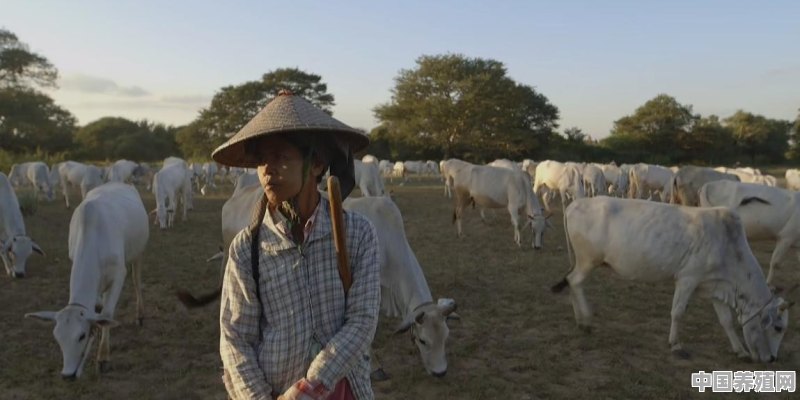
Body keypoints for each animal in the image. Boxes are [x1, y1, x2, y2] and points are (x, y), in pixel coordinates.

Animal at [25, 183, 148, 380]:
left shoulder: (119, 274)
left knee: (137, 282)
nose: (67, 375)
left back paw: (140, 315)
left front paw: (103, 357)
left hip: (138, 253)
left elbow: (107, 313)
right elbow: (98, 310)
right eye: (57, 337)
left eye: (81, 336)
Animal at [552, 198, 792, 362]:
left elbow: (726, 321)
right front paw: (676, 344)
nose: (772, 359)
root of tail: (574, 204)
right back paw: (585, 320)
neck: (729, 246)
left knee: (572, 282)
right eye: (778, 327)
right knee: (575, 281)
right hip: (587, 260)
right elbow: (677, 312)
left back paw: (580, 320)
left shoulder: (715, 285)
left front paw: (740, 350)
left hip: (584, 261)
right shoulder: (687, 279)